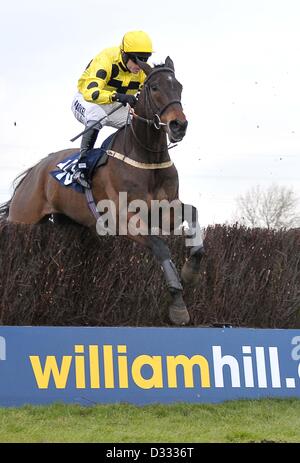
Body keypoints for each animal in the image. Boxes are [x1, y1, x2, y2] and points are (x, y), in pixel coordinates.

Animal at [0, 56, 204, 326]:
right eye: (154, 88)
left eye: (179, 86)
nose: (178, 125)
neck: (146, 157)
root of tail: (34, 170)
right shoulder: (123, 219)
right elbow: (160, 247)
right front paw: (178, 305)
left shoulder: (166, 210)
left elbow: (193, 215)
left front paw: (190, 273)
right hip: (23, 218)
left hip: (66, 223)